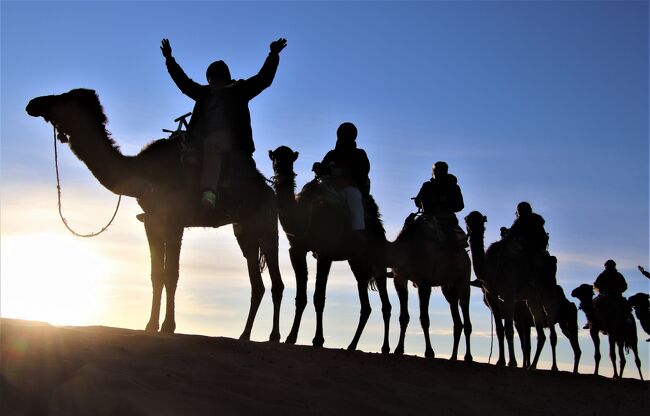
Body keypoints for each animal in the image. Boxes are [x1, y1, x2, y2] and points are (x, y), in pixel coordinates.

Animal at [27, 88, 284, 342]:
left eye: (64, 97)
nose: (33, 103)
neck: (145, 173)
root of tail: (269, 190)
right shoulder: (151, 221)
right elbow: (155, 275)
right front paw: (150, 325)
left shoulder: (174, 221)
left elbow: (171, 273)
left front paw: (169, 326)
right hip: (243, 230)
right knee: (257, 283)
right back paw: (244, 335)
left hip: (267, 224)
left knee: (276, 281)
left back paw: (274, 336)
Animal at [264, 145, 388, 352]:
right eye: (275, 158)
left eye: (290, 158)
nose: (281, 170)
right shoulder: (297, 250)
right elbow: (301, 297)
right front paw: (291, 337)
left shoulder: (325, 253)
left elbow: (319, 298)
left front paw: (318, 340)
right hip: (356, 262)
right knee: (366, 305)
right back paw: (352, 345)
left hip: (376, 259)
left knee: (386, 304)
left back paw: (387, 348)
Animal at [384, 213, 470, 360]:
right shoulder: (400, 279)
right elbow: (403, 317)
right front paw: (399, 349)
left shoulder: (424, 282)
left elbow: (424, 319)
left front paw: (429, 352)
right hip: (448, 286)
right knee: (457, 318)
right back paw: (453, 357)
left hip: (464, 278)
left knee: (465, 311)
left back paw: (468, 357)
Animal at [464, 210, 560, 368]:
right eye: (468, 221)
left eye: (482, 221)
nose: (474, 231)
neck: (491, 270)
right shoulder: (491, 296)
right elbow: (499, 330)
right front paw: (500, 361)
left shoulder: (509, 294)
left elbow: (509, 330)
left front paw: (512, 362)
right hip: (532, 300)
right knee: (541, 334)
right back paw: (532, 366)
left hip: (547, 293)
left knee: (552, 332)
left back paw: (553, 367)